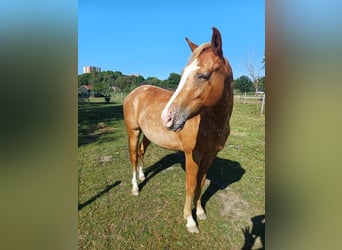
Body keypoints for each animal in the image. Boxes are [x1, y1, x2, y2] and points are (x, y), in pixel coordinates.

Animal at [122, 26, 232, 233]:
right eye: (182, 73)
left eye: (203, 75)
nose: (167, 118)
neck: (212, 125)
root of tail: (134, 93)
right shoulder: (192, 156)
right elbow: (191, 185)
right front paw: (190, 220)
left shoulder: (210, 156)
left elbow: (201, 182)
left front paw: (200, 212)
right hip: (133, 132)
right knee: (133, 157)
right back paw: (135, 187)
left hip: (148, 135)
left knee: (141, 152)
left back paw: (142, 175)